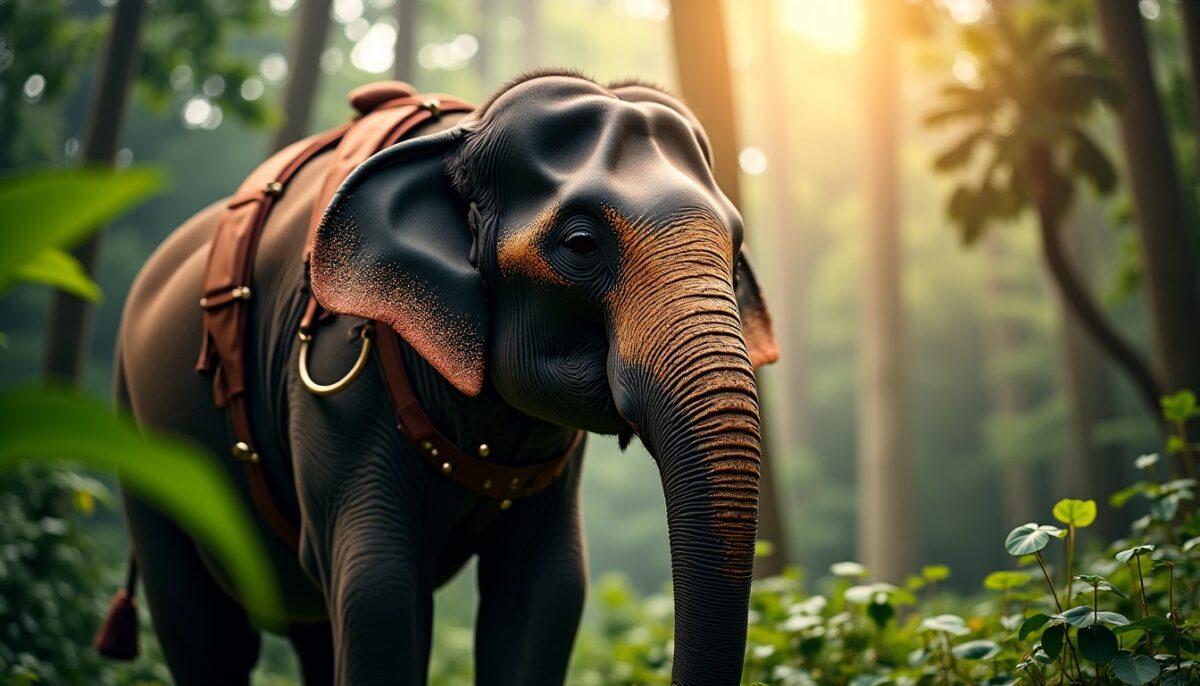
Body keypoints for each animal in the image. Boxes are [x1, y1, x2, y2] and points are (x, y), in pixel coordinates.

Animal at [115, 70, 778, 685]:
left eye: (735, 245)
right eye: (581, 244)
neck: (464, 136)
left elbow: (547, 591)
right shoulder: (338, 382)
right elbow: (378, 590)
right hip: (148, 445)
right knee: (205, 631)